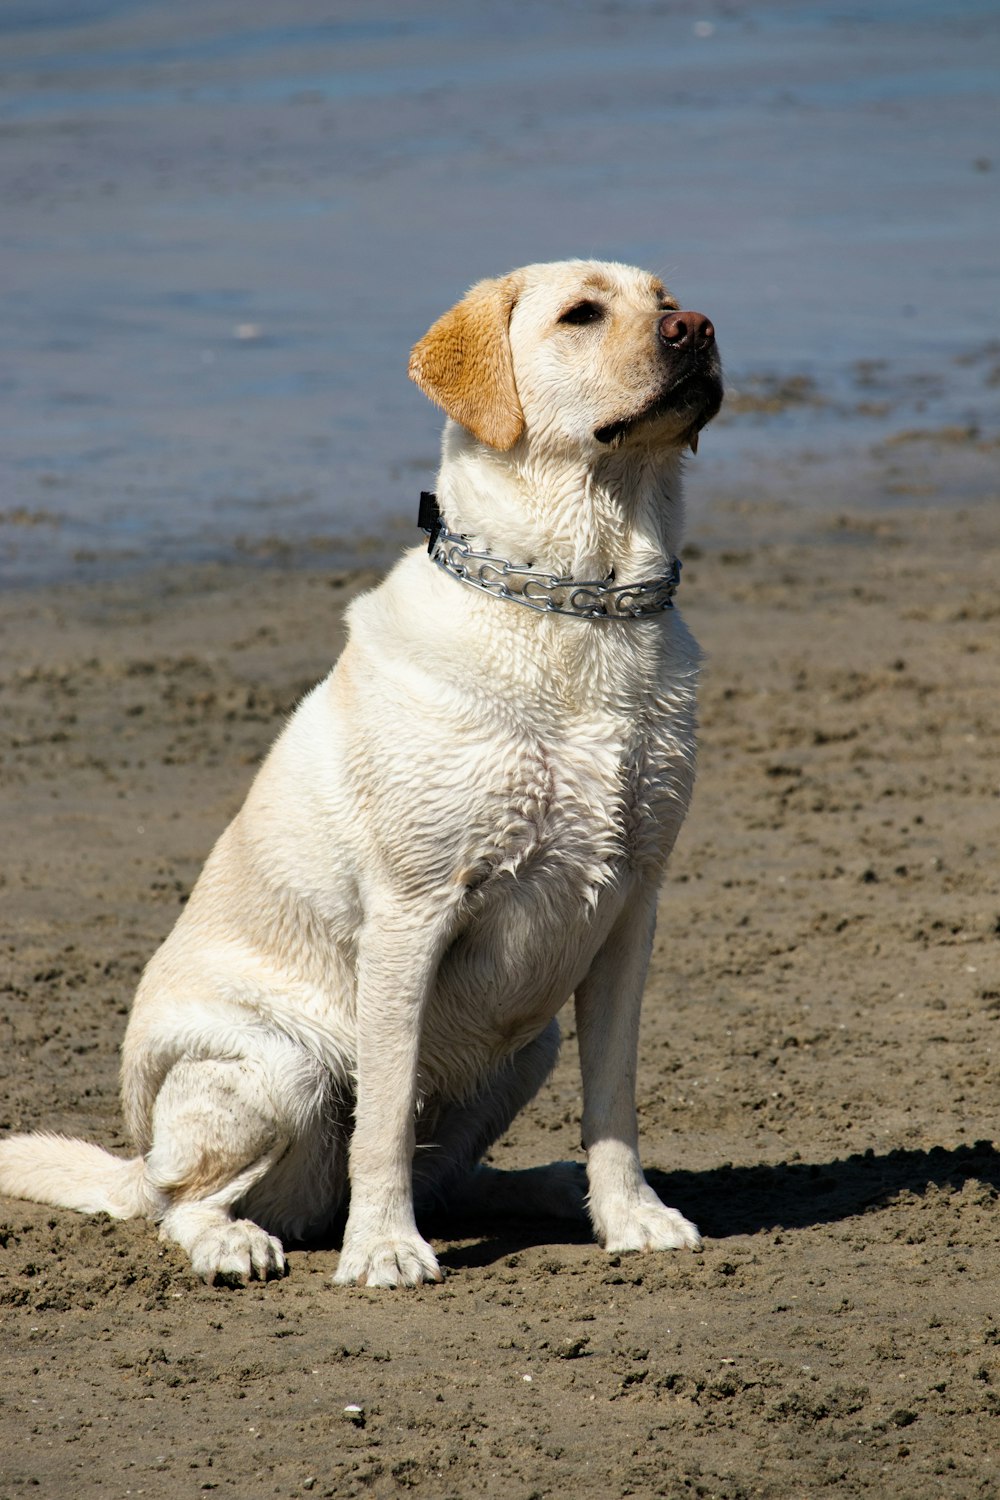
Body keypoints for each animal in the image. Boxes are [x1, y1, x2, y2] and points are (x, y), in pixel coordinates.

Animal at [0, 261, 719, 1290]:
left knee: (451, 1176)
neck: (578, 606)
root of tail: (138, 1153)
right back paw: (235, 1241)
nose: (695, 327)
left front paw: (629, 1216)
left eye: (667, 298)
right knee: (181, 1202)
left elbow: (613, 1099)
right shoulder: (412, 915)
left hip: (525, 1043)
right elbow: (381, 1117)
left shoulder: (632, 906)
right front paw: (382, 1247)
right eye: (581, 314)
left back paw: (550, 1188)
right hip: (281, 1068)